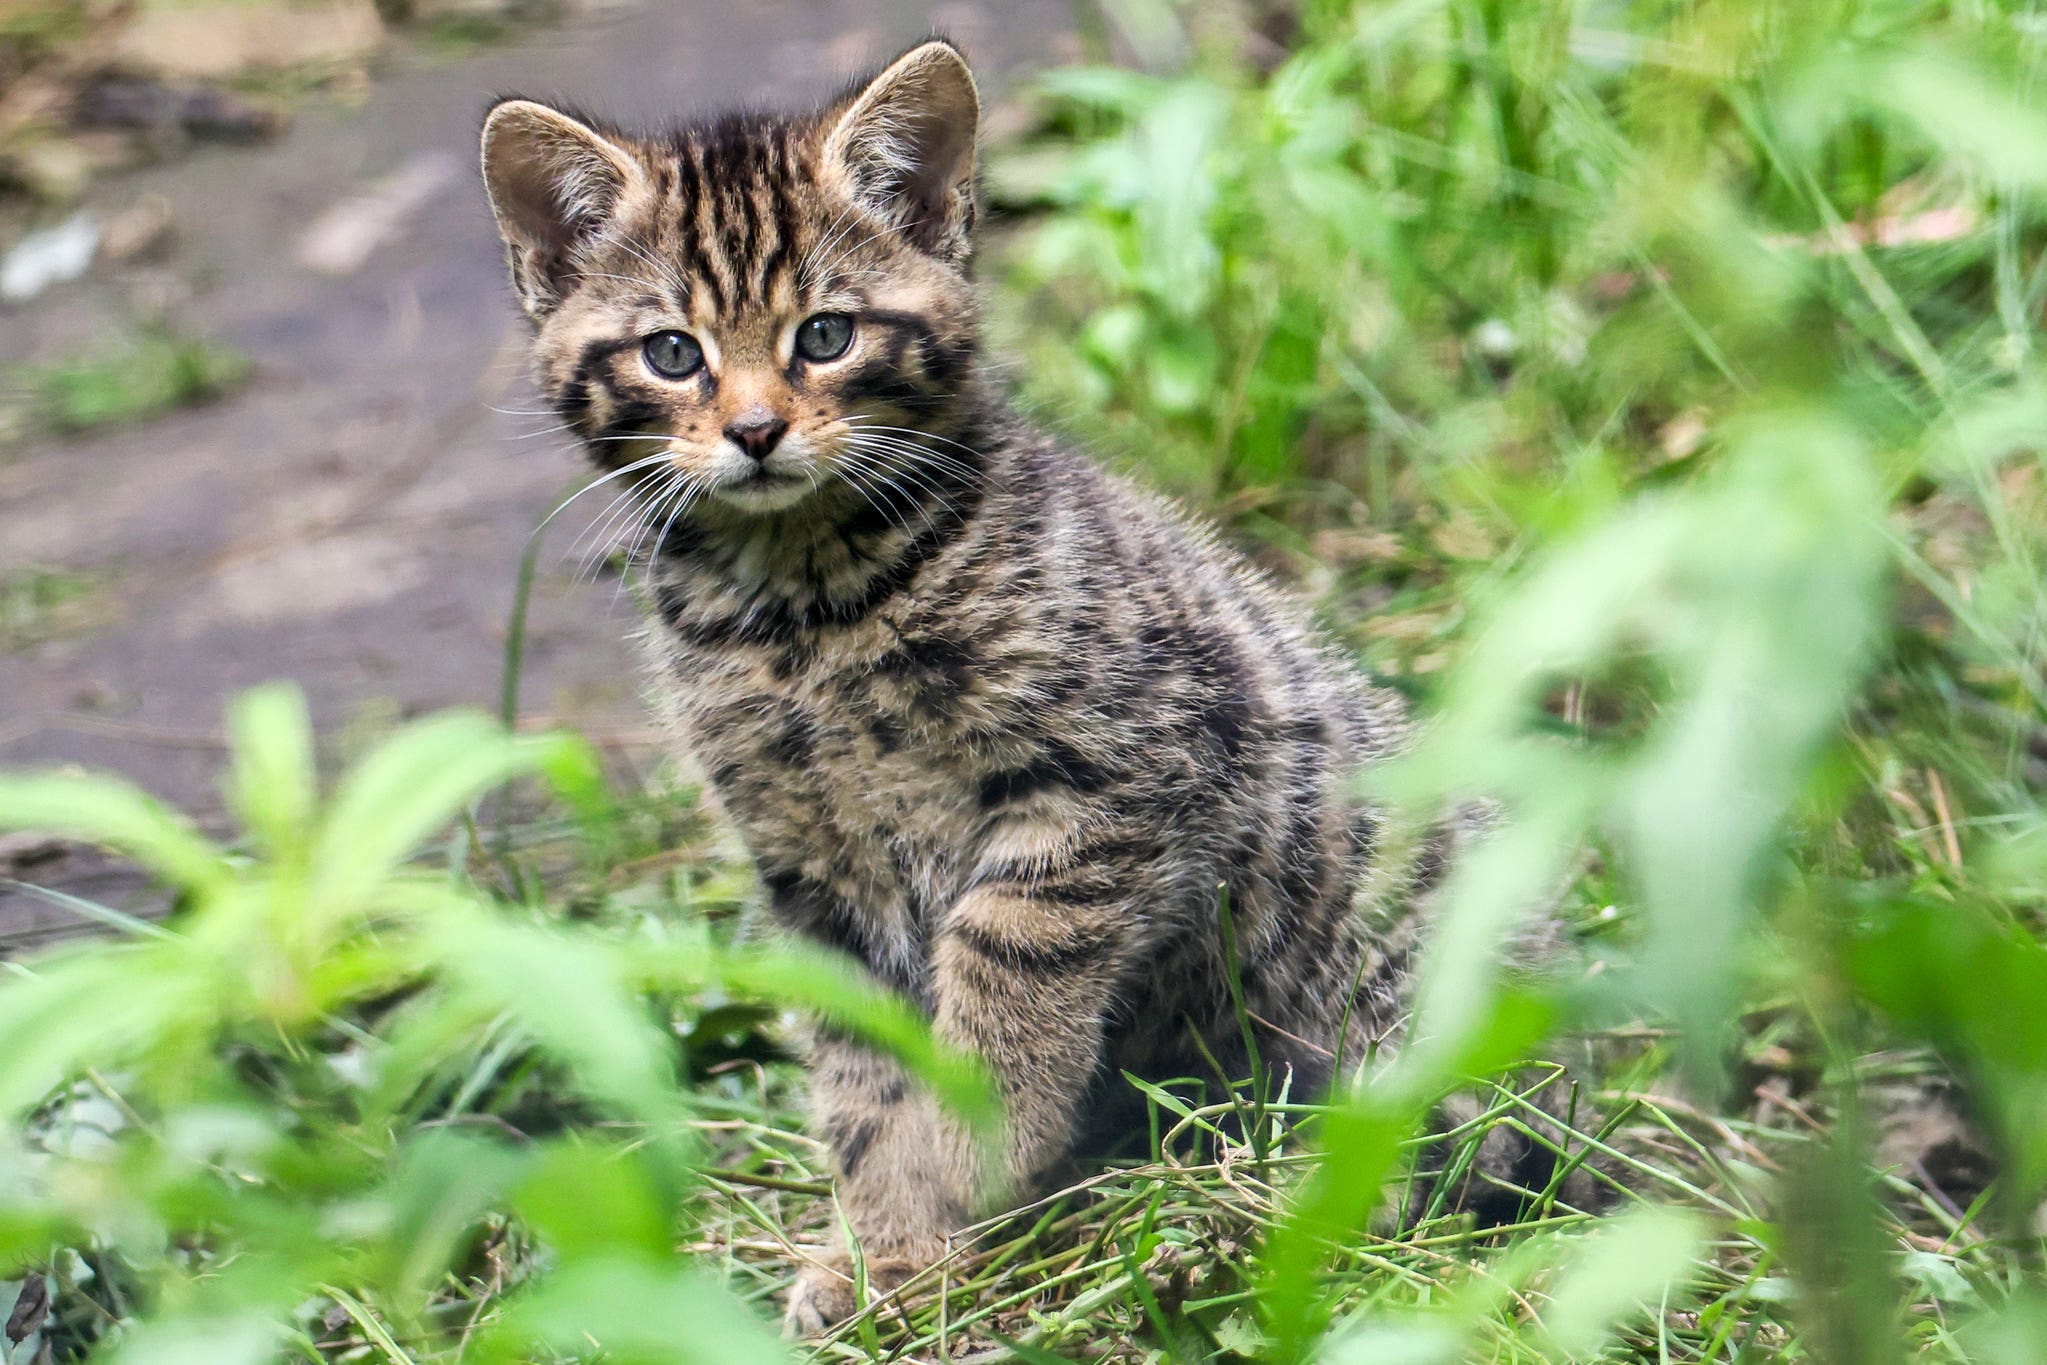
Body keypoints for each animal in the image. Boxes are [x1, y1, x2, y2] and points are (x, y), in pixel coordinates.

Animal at [485, 42, 1457, 1334]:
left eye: (826, 335)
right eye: (673, 353)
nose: (754, 431)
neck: (801, 612)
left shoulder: (1114, 775)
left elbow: (1000, 984)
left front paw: (963, 1168)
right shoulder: (811, 871)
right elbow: (861, 1073)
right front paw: (882, 1245)